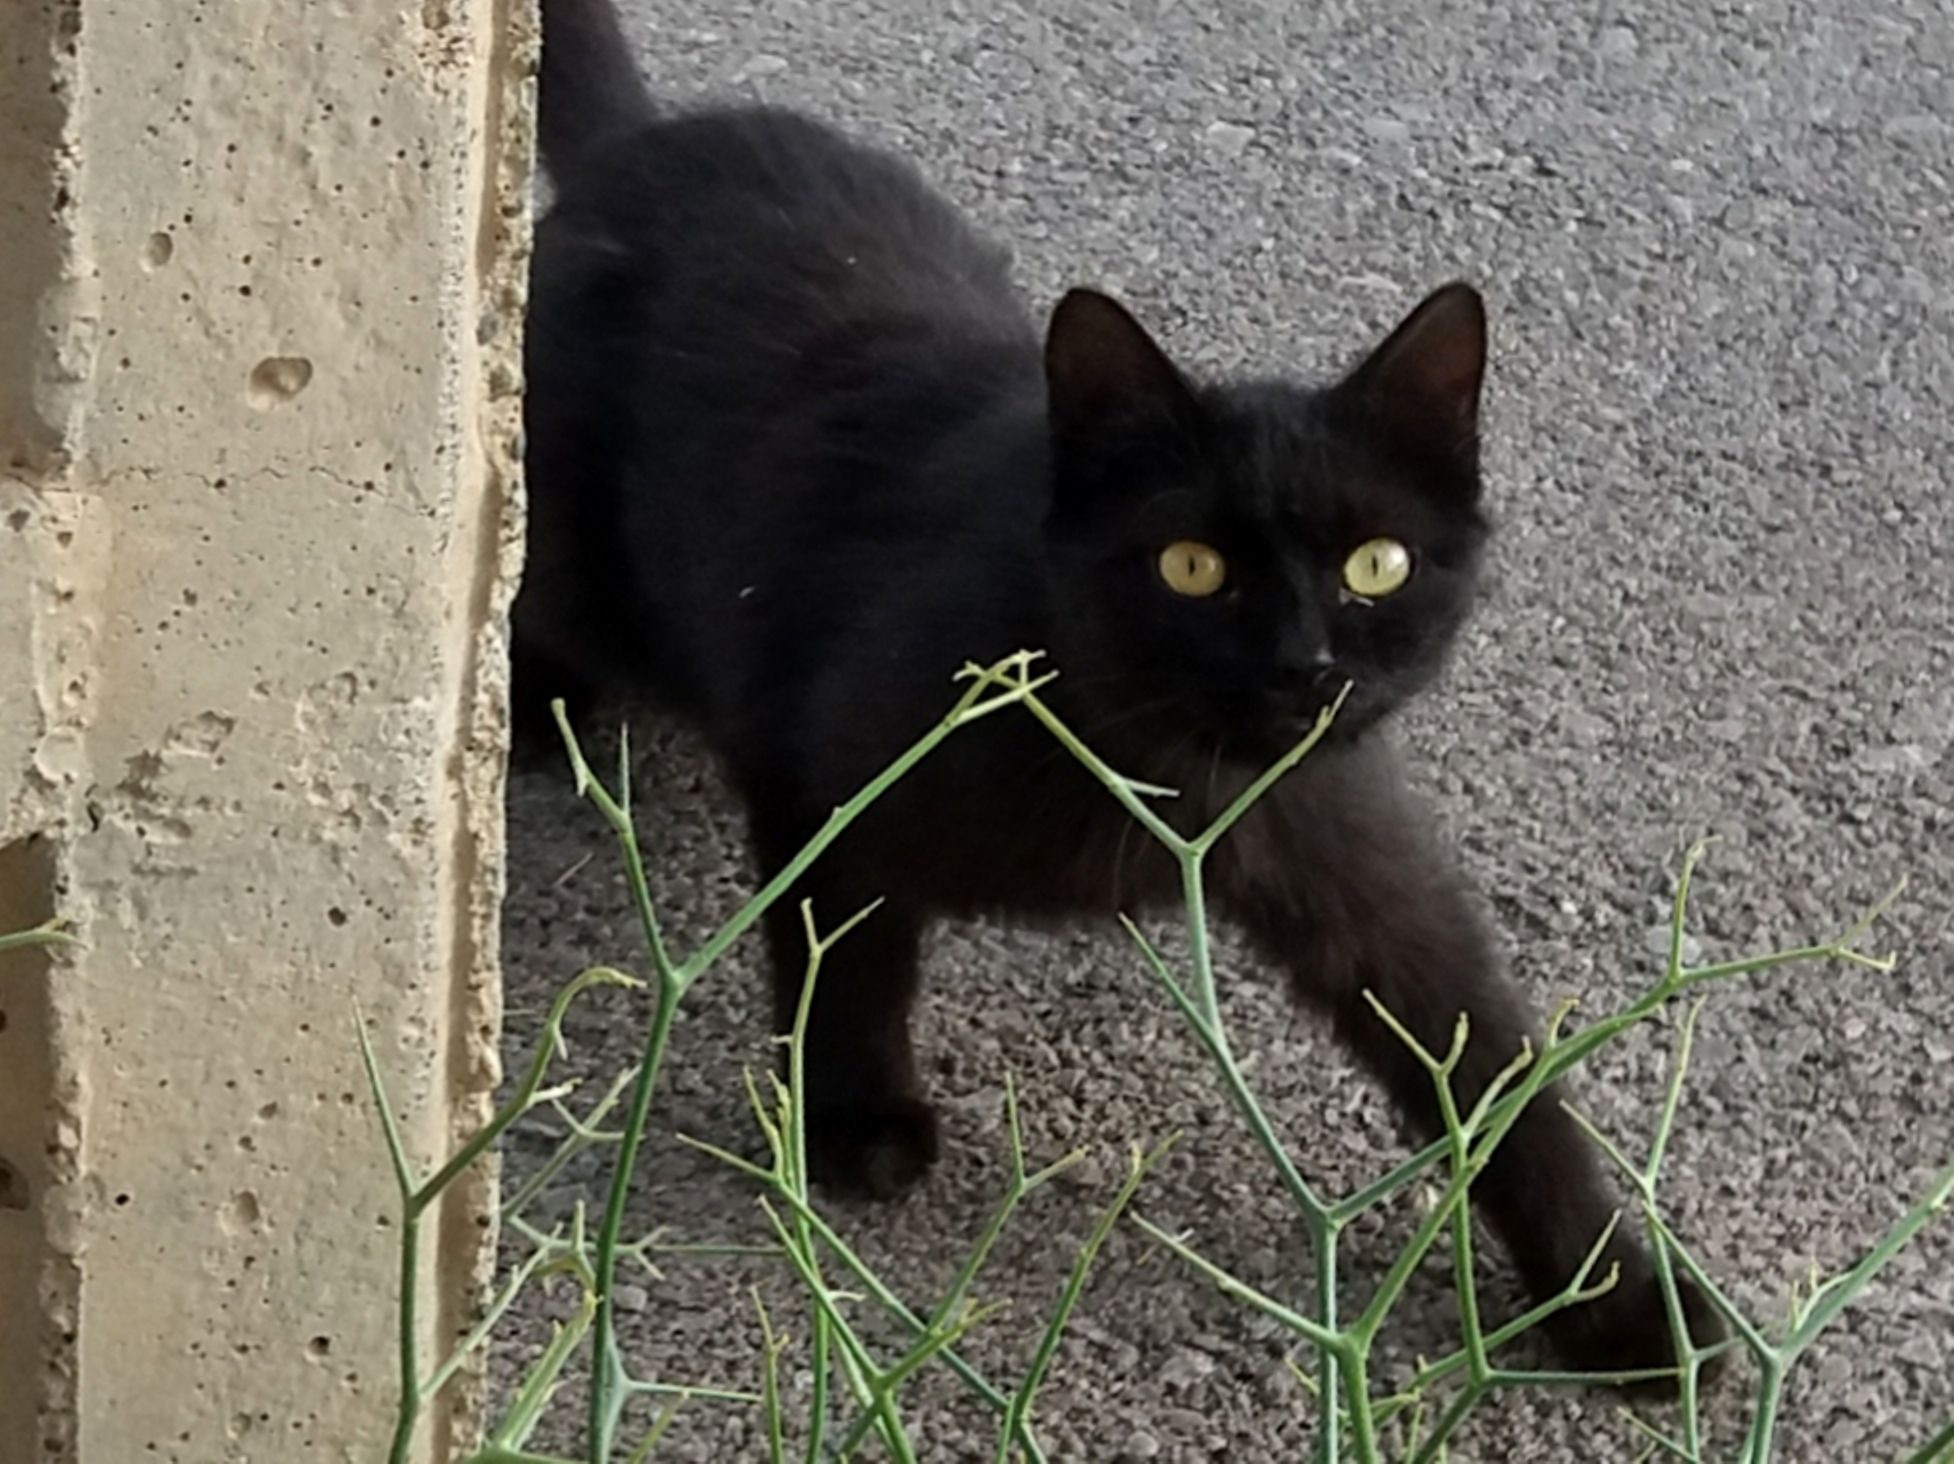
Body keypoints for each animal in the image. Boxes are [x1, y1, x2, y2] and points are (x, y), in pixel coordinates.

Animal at [519, 0, 1727, 1376]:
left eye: (1376, 564)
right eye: (1190, 566)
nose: (1303, 663)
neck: (1167, 770)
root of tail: (640, 148)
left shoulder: (1357, 853)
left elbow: (1491, 1063)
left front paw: (1615, 1298)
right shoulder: (817, 765)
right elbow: (844, 949)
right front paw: (853, 1125)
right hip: (578, 552)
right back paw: (534, 715)